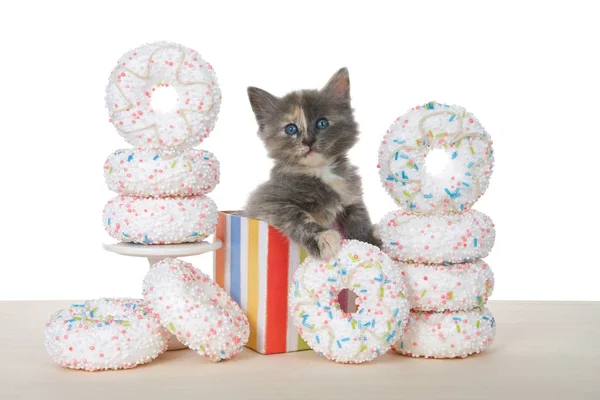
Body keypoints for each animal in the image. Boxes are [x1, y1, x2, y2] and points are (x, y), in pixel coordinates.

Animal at [243, 68, 380, 260]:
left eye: (322, 123)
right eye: (291, 129)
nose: (308, 140)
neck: (321, 170)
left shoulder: (351, 195)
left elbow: (360, 217)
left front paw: (369, 241)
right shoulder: (266, 201)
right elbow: (297, 215)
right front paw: (323, 237)